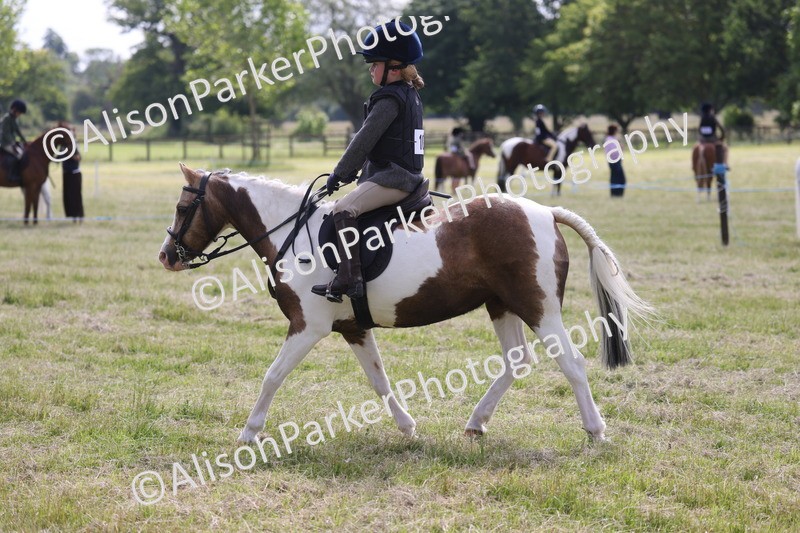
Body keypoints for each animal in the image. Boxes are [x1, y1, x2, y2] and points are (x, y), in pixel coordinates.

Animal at [159, 164, 652, 445]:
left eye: (184, 208)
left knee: (571, 364)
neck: (293, 233)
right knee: (517, 362)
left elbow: (272, 376)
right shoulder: (353, 328)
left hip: (539, 310)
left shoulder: (307, 327)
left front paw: (248, 433)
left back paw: (596, 431)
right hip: (501, 306)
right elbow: (379, 381)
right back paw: (476, 423)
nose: (166, 257)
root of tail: (546, 213)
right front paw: (408, 427)